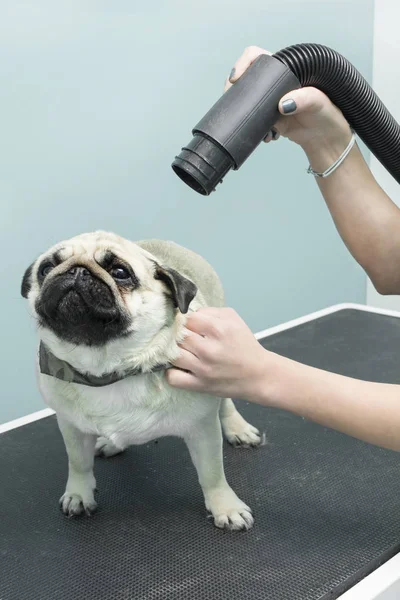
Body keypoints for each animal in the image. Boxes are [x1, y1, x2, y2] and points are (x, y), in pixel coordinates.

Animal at [21, 233, 260, 528]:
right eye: (45, 269)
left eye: (120, 273)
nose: (77, 271)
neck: (110, 369)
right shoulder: (71, 427)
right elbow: (78, 464)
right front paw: (78, 494)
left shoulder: (203, 429)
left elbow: (212, 473)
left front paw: (225, 507)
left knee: (226, 403)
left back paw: (238, 428)